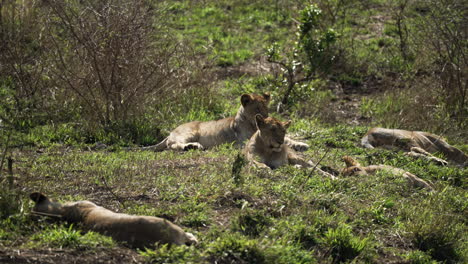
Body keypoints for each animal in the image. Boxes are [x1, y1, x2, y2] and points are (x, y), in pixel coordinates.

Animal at [144, 93, 308, 152]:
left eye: (266, 109)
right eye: (257, 109)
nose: (265, 118)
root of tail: (171, 132)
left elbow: (288, 138)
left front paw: (301, 144)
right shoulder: (244, 142)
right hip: (189, 132)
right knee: (172, 145)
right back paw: (193, 146)